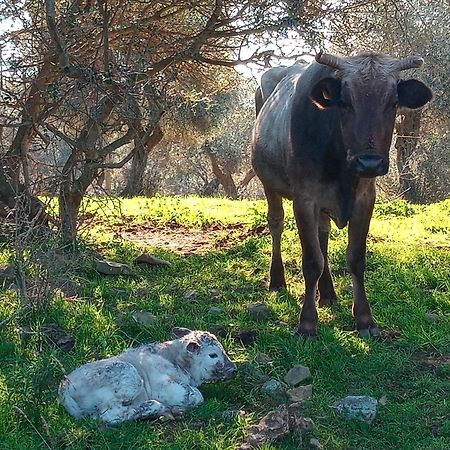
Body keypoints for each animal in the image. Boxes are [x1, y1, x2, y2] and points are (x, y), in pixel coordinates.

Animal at [58, 328, 237, 424]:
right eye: (213, 355)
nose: (234, 369)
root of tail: (65, 385)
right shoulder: (163, 387)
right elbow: (196, 395)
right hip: (130, 377)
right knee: (110, 415)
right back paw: (157, 408)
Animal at [253, 51, 432, 338]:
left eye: (393, 102)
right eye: (345, 102)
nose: (369, 162)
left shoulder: (365, 199)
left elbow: (355, 258)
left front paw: (365, 319)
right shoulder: (305, 200)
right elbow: (312, 261)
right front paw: (307, 324)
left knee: (323, 234)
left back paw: (327, 293)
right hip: (268, 182)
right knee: (276, 223)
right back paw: (277, 280)